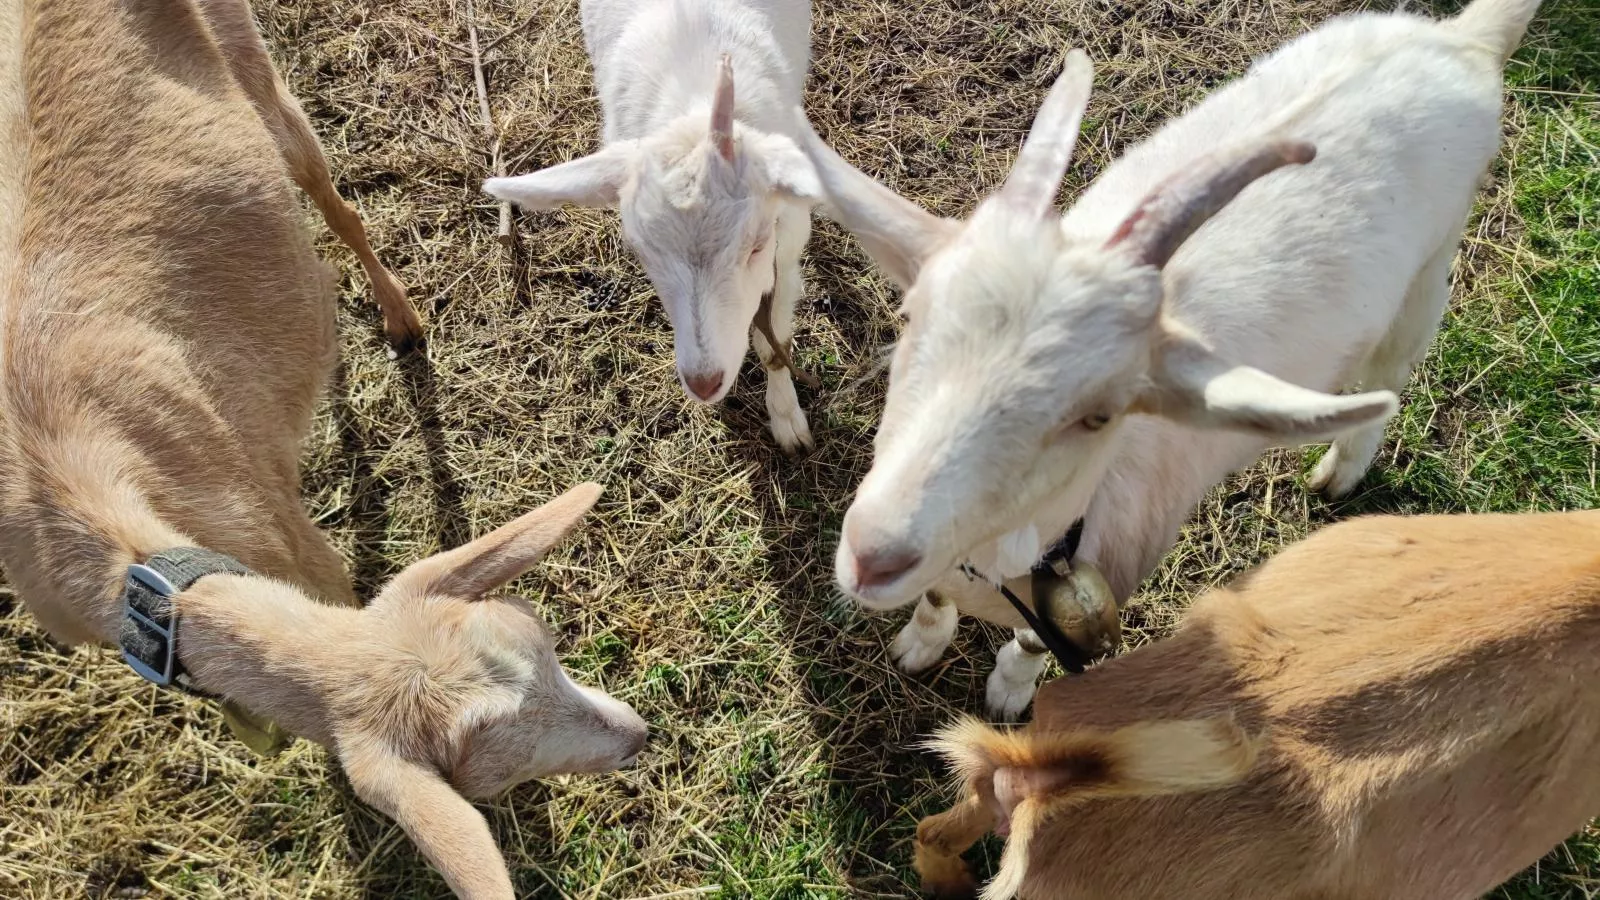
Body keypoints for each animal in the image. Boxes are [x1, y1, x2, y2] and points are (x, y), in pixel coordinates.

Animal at [6, 1, 643, 896]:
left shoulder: (300, 550)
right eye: (500, 762)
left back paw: (400, 319)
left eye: (550, 652)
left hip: (267, 84)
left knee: (334, 202)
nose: (640, 735)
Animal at [480, 0, 819, 448]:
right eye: (641, 251)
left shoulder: (789, 242)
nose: (704, 382)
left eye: (758, 245)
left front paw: (786, 420)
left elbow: (774, 340)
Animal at [800, 0, 1536, 714]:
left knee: (1389, 377)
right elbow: (932, 599)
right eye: (910, 321)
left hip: (1428, 271)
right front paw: (920, 644)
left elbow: (1033, 645)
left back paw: (1340, 472)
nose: (873, 554)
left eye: (1099, 415)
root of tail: (1461, 40)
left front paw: (1009, 691)